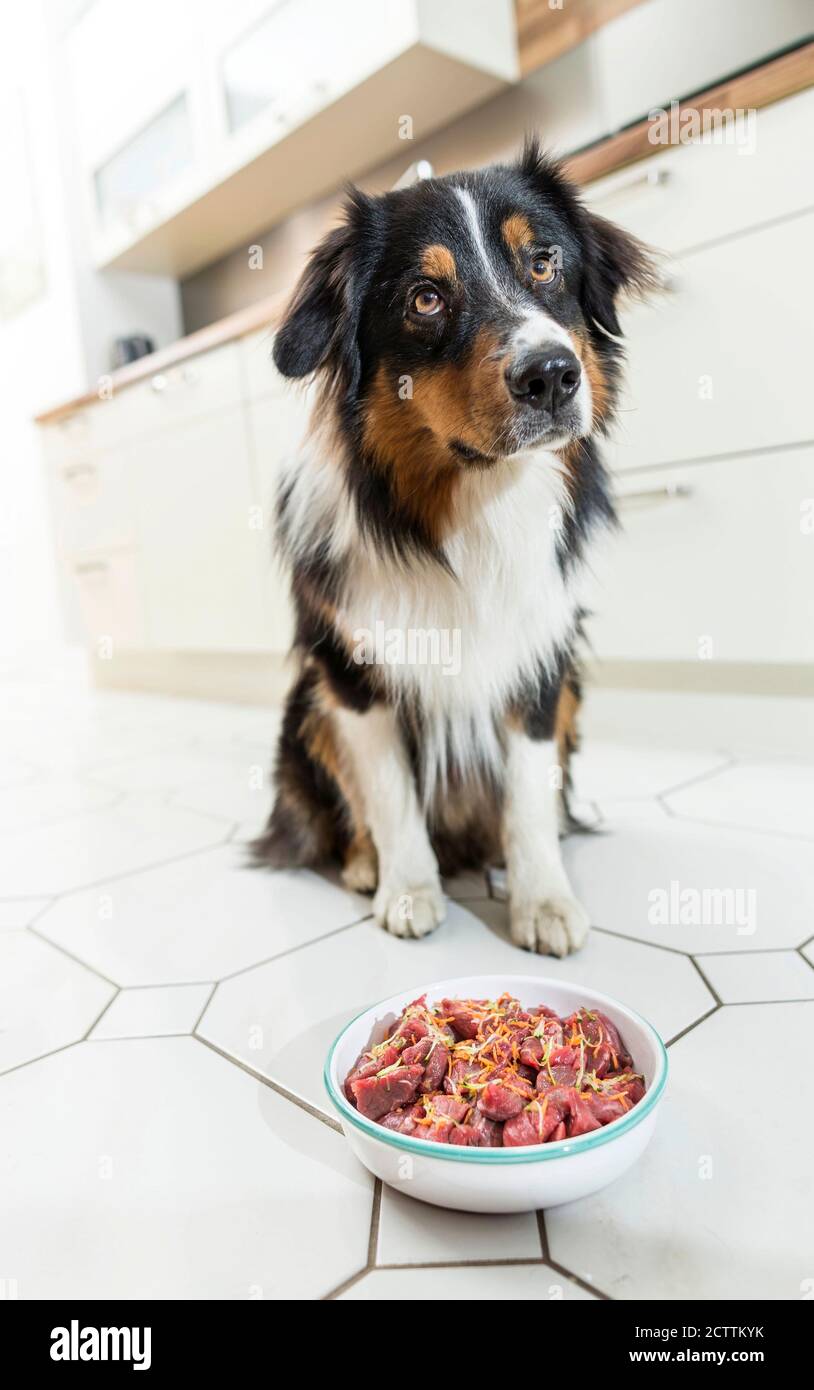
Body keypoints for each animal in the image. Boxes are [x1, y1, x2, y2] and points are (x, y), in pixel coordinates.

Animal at [250, 141, 655, 956]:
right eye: (426, 298)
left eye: (544, 262)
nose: (552, 375)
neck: (476, 506)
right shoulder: (353, 674)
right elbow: (390, 794)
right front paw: (409, 890)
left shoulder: (540, 659)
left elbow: (528, 793)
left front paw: (542, 901)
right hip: (306, 701)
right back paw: (366, 865)